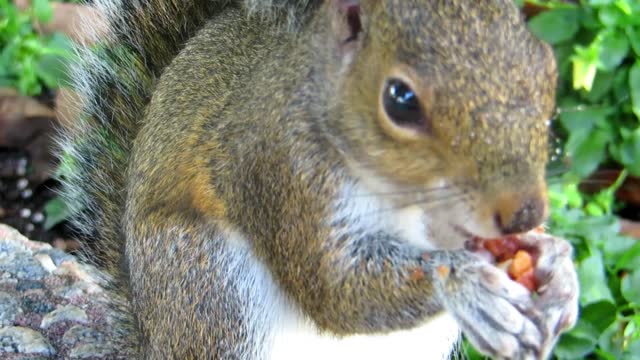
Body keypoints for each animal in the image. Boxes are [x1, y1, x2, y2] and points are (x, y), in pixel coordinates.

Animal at [58, 0, 580, 358]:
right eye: (400, 100)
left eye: (547, 67)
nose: (525, 211)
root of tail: (151, 341)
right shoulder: (278, 169)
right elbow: (334, 291)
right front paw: (466, 284)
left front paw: (558, 268)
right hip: (207, 285)